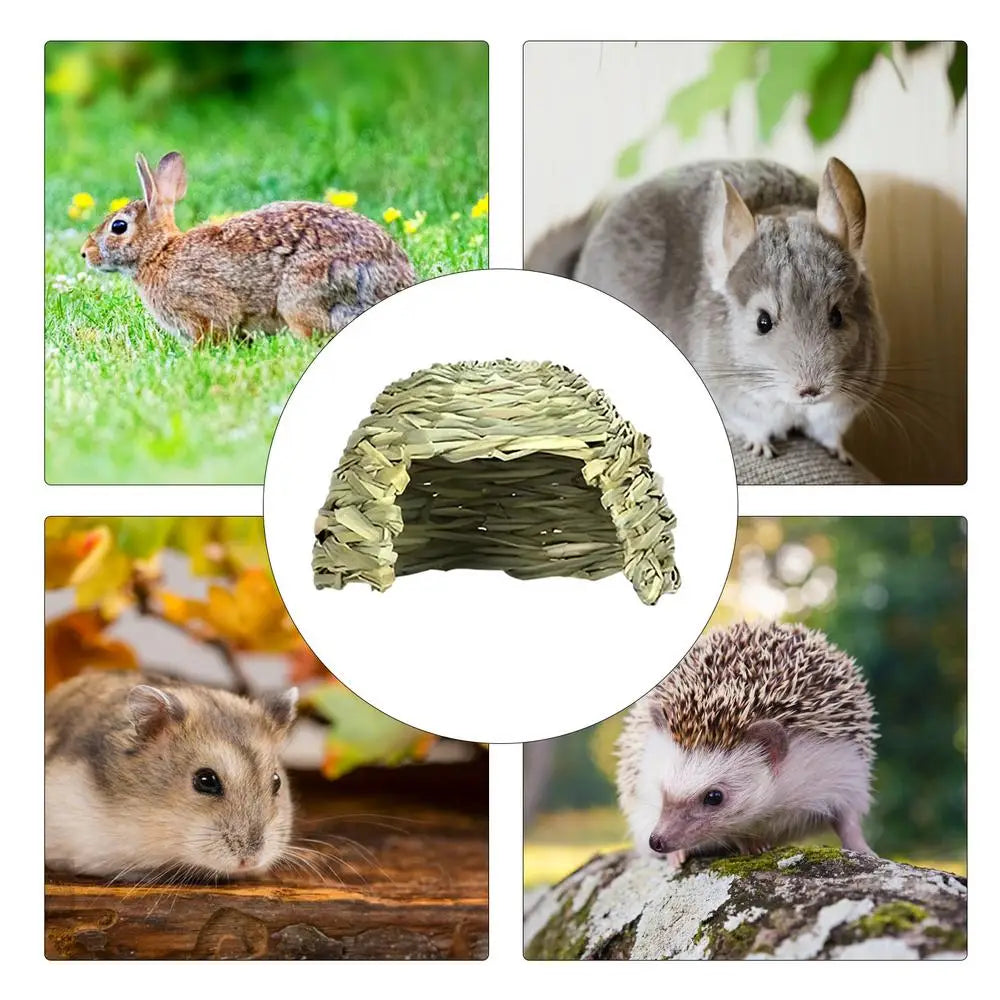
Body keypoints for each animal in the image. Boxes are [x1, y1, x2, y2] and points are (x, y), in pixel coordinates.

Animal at [81, 151, 416, 343]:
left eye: (118, 227)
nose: (85, 253)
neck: (158, 253)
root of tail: (394, 283)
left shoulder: (206, 306)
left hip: (301, 297)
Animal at [527, 158, 887, 463]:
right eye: (763, 322)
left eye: (837, 316)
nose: (811, 390)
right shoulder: (737, 404)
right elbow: (754, 427)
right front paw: (761, 448)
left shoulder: (840, 410)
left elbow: (829, 435)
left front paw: (841, 454)